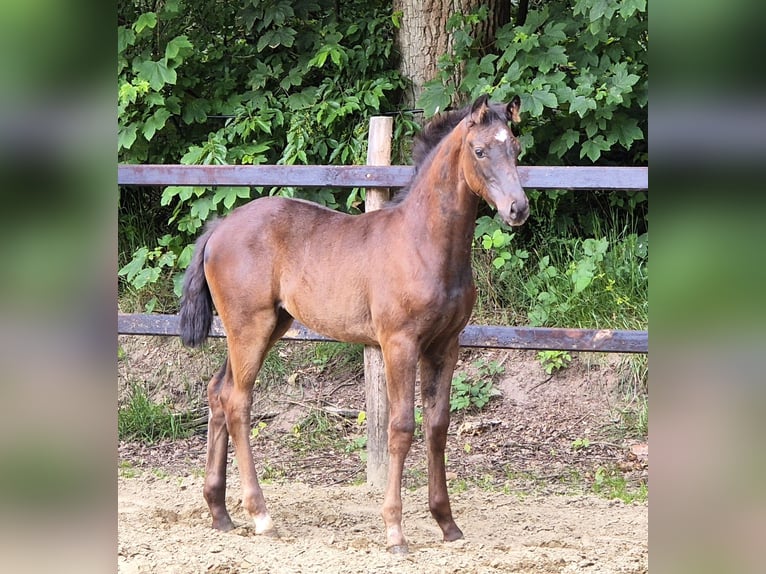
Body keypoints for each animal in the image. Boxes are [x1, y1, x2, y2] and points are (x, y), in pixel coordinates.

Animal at [179, 94, 528, 552]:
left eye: (516, 149)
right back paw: (261, 515)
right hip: (249, 327)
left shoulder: (446, 345)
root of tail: (219, 229)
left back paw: (220, 512)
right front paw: (395, 530)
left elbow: (437, 426)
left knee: (218, 391)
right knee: (237, 401)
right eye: (480, 150)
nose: (517, 208)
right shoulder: (399, 343)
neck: (424, 243)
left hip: (269, 326)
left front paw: (447, 523)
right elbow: (401, 427)